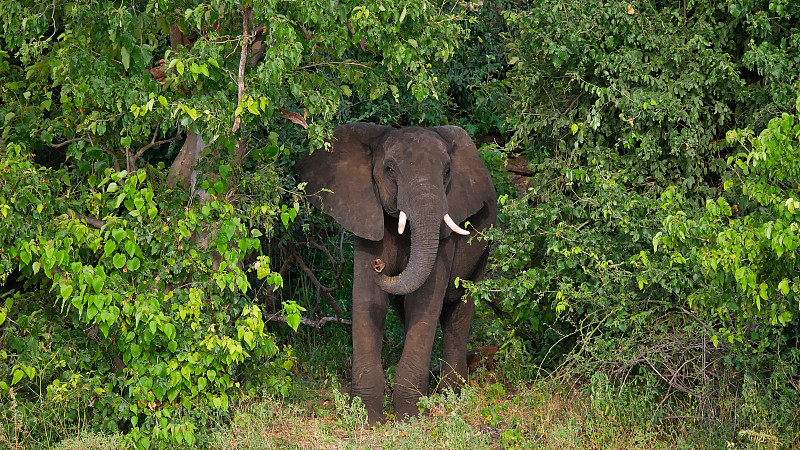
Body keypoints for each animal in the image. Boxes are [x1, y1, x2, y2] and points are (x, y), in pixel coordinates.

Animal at [296, 121, 496, 424]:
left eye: (447, 172)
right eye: (389, 169)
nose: (379, 265)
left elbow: (424, 302)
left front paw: (409, 417)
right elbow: (369, 300)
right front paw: (368, 418)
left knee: (459, 310)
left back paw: (452, 395)